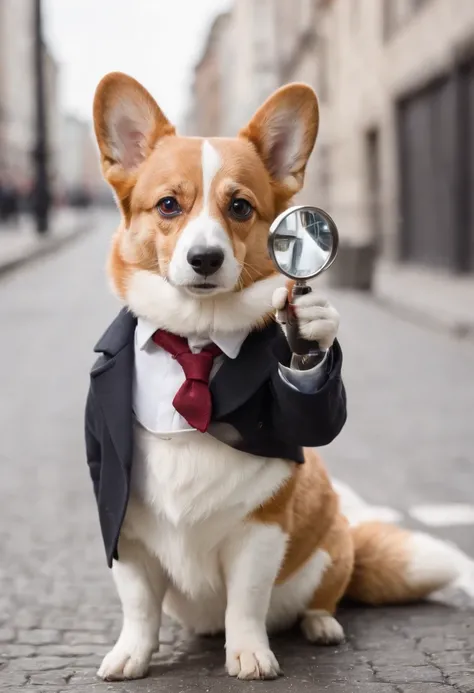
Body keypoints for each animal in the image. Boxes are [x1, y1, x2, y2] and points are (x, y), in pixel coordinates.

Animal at [87, 73, 462, 680]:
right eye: (168, 205)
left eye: (240, 207)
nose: (206, 258)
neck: (197, 338)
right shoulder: (124, 526)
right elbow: (139, 604)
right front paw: (132, 655)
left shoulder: (261, 529)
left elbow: (246, 601)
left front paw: (248, 655)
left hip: (332, 548)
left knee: (322, 597)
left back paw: (320, 626)